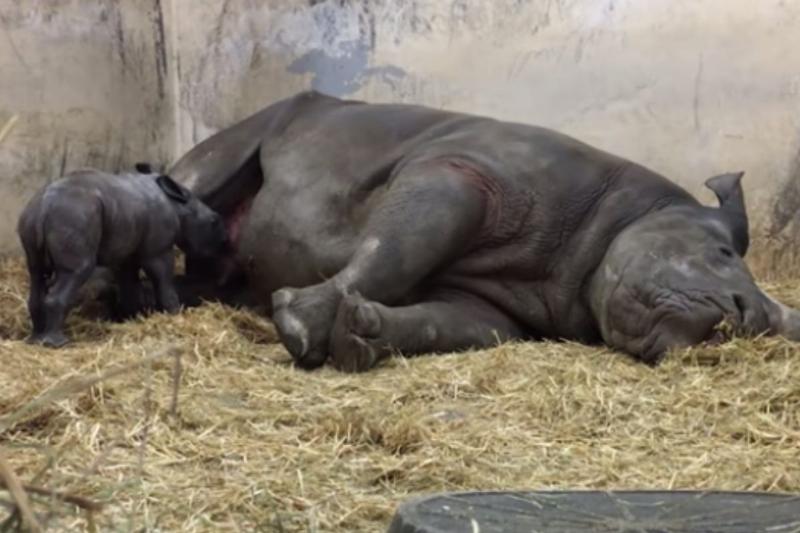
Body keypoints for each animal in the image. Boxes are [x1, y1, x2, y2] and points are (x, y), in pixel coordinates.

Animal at [17, 168, 228, 347]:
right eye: (215, 221)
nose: (223, 244)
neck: (178, 205)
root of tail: (44, 206)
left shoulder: (126, 250)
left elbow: (129, 283)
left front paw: (131, 318)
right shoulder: (158, 250)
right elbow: (163, 280)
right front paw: (175, 315)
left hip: (35, 217)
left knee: (36, 272)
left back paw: (35, 340)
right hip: (72, 217)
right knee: (77, 270)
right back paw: (57, 343)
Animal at [167, 90, 800, 372]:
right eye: (722, 253)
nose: (745, 319)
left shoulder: (503, 306)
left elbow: (449, 324)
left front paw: (361, 332)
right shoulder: (465, 173)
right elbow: (394, 250)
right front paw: (298, 327)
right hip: (271, 120)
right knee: (197, 179)